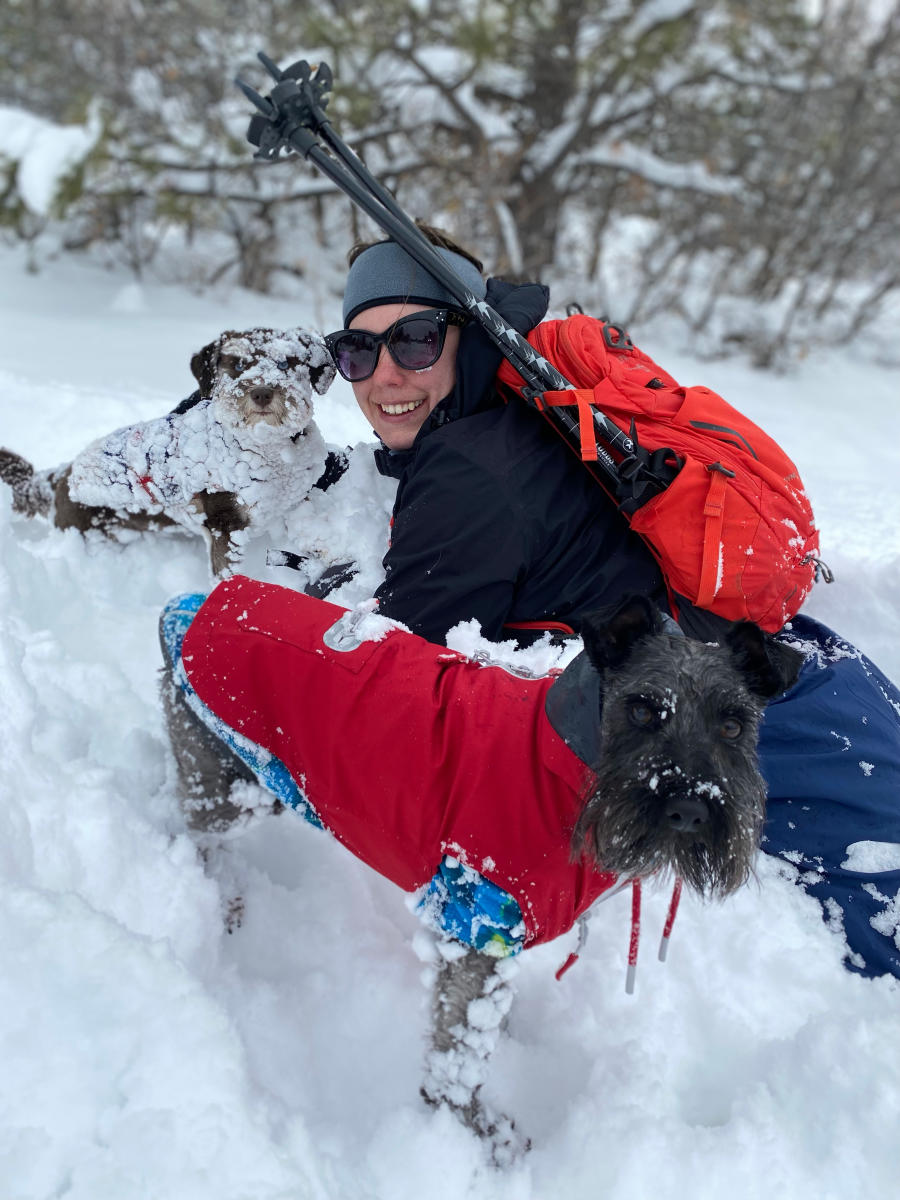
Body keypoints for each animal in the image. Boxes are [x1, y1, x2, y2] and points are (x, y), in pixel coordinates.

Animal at [0, 326, 336, 573]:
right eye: (239, 364)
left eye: (285, 363)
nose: (262, 393)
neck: (269, 446)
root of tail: (60, 476)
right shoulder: (225, 523)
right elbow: (228, 571)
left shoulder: (294, 499)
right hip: (87, 531)